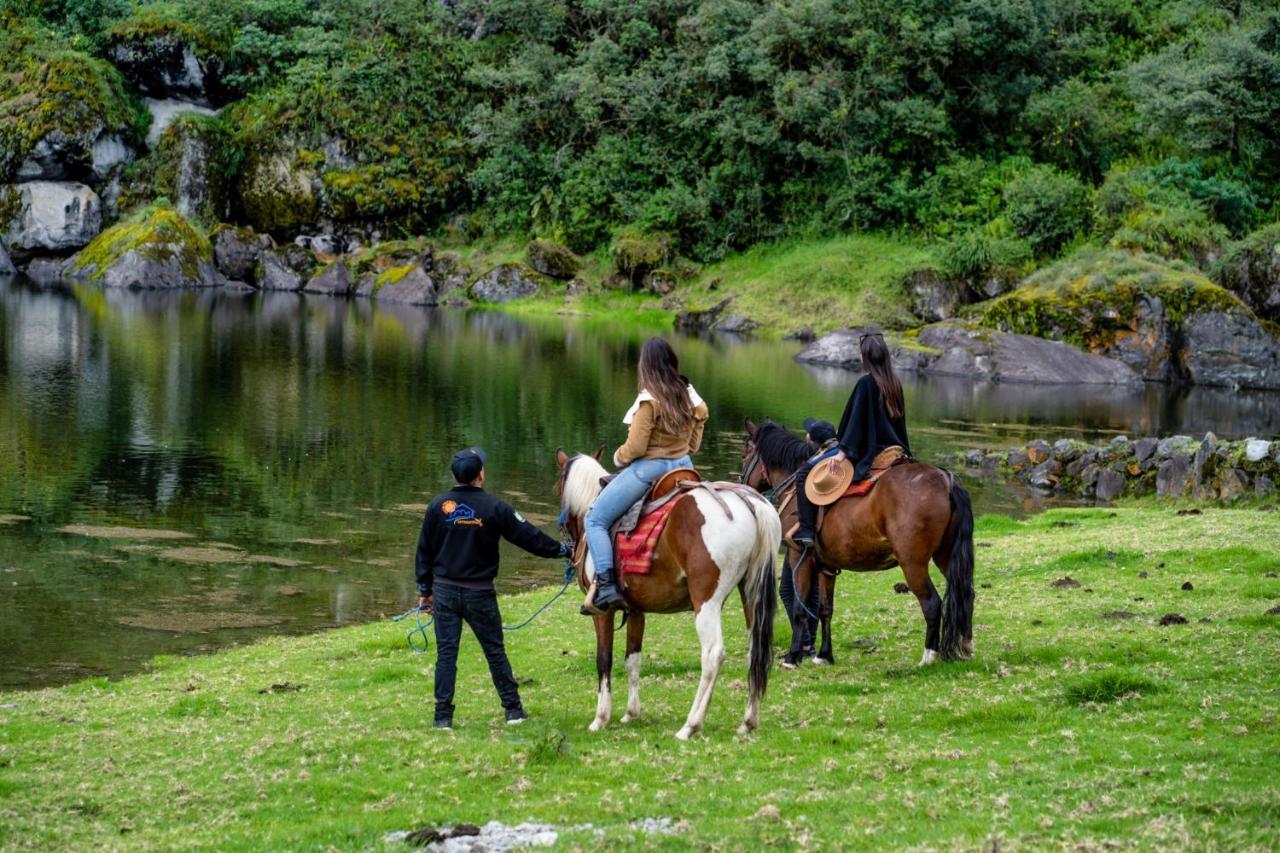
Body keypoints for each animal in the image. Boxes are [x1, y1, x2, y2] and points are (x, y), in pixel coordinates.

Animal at [558, 445, 778, 737]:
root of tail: (750, 504)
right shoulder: (636, 611)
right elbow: (632, 660)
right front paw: (631, 714)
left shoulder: (601, 612)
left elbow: (604, 660)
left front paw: (600, 718)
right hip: (750, 594)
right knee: (755, 649)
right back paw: (748, 721)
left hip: (706, 601)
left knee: (712, 654)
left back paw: (691, 725)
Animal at [737, 417, 972, 666]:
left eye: (745, 453)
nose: (742, 481)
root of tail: (947, 480)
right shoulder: (827, 567)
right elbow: (825, 609)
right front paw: (824, 655)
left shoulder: (799, 556)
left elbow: (800, 608)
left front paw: (792, 656)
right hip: (946, 556)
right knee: (966, 594)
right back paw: (965, 647)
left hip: (913, 563)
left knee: (932, 604)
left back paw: (928, 657)